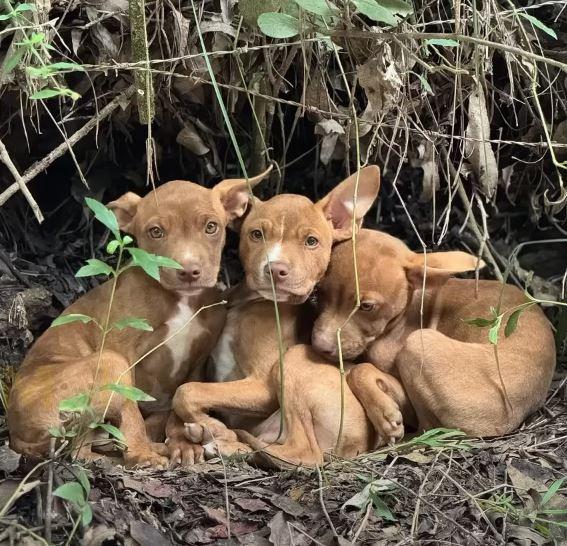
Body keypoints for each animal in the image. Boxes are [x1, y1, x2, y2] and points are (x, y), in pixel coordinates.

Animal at [7, 169, 270, 464]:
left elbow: (181, 400)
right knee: (80, 450)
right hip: (106, 365)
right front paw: (143, 453)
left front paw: (183, 441)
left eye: (211, 227)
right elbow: (132, 408)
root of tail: (13, 434)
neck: (183, 300)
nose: (189, 271)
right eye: (156, 232)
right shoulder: (122, 351)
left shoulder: (199, 359)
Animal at [169, 165, 382, 460]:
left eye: (311, 241)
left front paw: (212, 425)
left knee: (305, 453)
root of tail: (362, 444)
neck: (252, 303)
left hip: (293, 363)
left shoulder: (262, 387)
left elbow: (185, 391)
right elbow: (185, 391)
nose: (276, 269)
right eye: (256, 234)